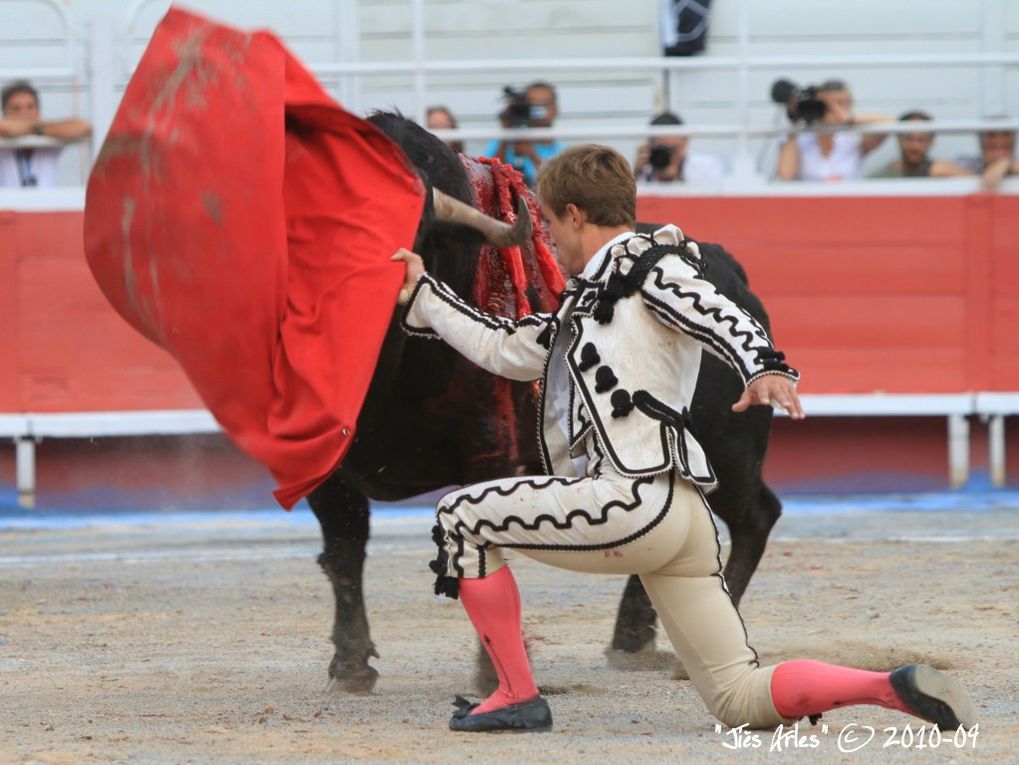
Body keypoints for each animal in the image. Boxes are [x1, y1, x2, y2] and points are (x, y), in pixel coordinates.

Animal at [309, 113, 778, 692]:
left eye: (411, 227)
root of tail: (729, 265)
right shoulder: (323, 468)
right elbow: (344, 551)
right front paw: (351, 664)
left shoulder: (488, 452)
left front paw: (492, 675)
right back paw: (632, 639)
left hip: (731, 452)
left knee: (754, 516)